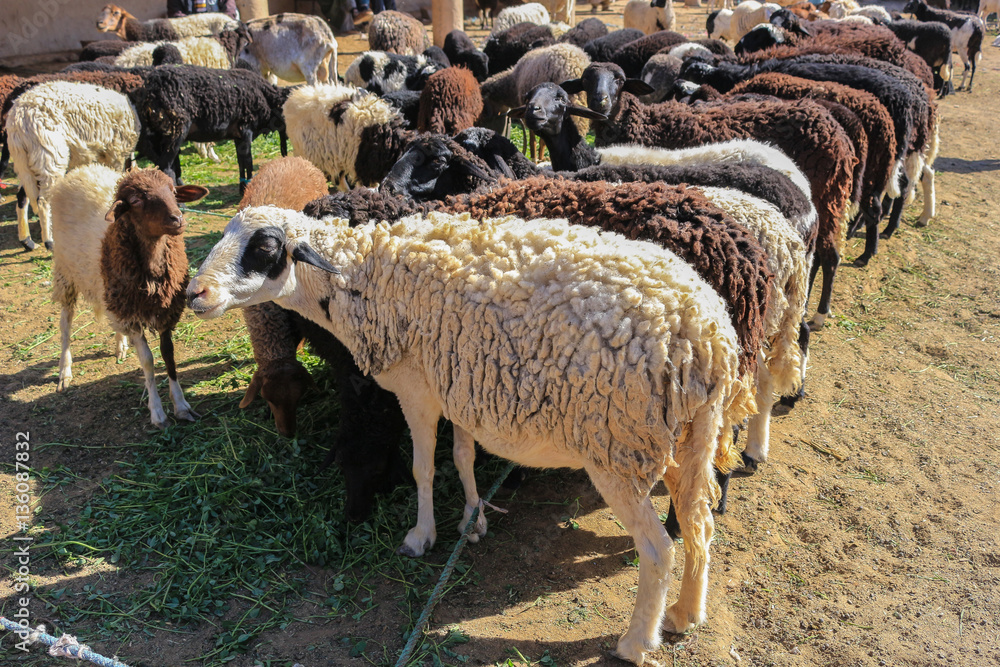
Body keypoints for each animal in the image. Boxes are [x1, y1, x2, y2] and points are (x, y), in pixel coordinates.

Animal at [5, 81, 139, 252]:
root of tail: (17, 117)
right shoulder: (116, 153)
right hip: (49, 154)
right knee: (43, 201)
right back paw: (49, 241)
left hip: (26, 160)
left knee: (23, 196)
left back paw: (27, 241)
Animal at [51, 165, 207, 427]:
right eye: (135, 201)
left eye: (174, 191)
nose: (178, 219)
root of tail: (83, 170)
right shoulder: (132, 316)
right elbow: (148, 361)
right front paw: (157, 412)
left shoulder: (164, 311)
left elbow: (169, 356)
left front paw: (181, 406)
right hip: (66, 272)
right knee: (65, 324)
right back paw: (65, 370)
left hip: (112, 294)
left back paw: (120, 345)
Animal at [127, 65, 289, 194]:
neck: (266, 97)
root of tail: (150, 90)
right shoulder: (246, 130)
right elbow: (248, 162)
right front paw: (247, 188)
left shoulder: (238, 136)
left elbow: (241, 162)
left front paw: (242, 187)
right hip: (176, 131)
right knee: (166, 167)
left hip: (151, 138)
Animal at [188, 204, 756, 664]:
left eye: (264, 247)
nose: (195, 292)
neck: (365, 274)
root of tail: (709, 336)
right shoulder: (457, 383)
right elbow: (461, 456)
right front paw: (472, 519)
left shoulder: (417, 388)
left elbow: (421, 467)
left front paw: (421, 536)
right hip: (692, 437)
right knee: (699, 521)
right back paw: (687, 613)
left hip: (618, 445)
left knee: (658, 549)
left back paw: (636, 642)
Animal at [562, 63, 855, 328]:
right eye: (586, 80)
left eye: (620, 80)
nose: (600, 101)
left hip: (828, 196)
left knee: (830, 257)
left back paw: (818, 314)